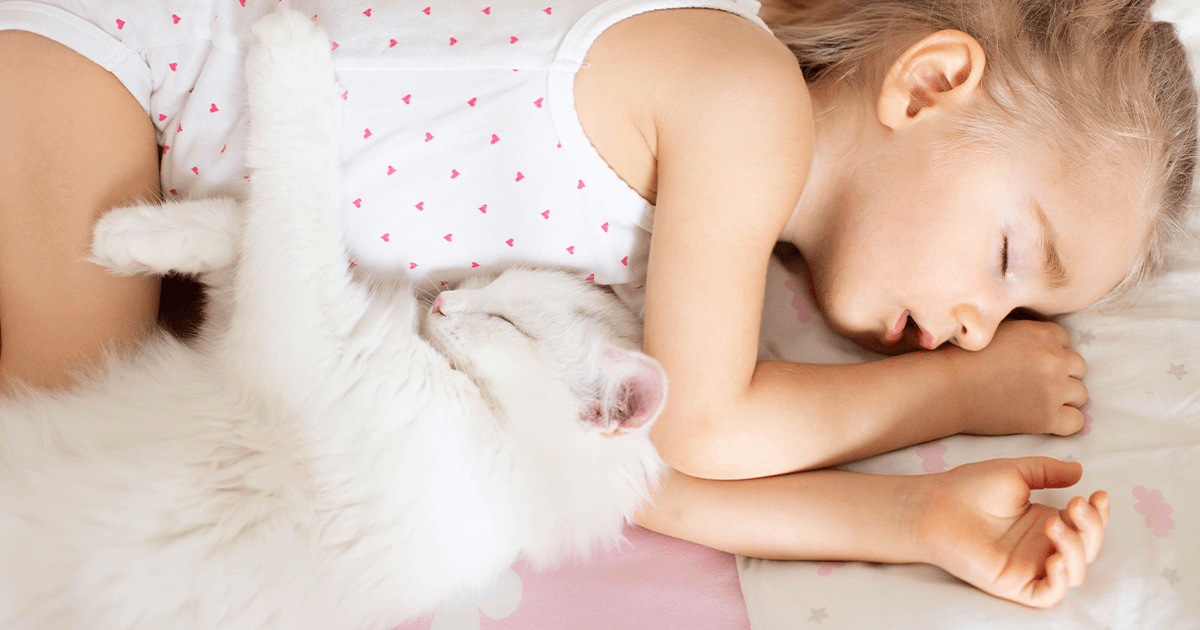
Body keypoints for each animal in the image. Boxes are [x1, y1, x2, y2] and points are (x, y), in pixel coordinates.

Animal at [0, 9, 672, 628]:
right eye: (487, 285)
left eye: (508, 324)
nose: (444, 300)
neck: (503, 439)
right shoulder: (246, 330)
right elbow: (239, 226)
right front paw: (130, 236)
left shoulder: (300, 328)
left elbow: (297, 186)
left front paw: (290, 39)